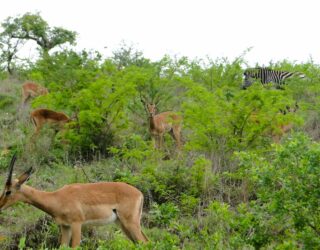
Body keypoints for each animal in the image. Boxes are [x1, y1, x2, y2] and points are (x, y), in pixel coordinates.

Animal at [0, 155, 148, 247]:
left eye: (8, 191)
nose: (0, 205)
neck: (57, 198)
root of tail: (139, 193)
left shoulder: (77, 224)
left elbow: (75, 246)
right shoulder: (65, 226)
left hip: (130, 223)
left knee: (145, 242)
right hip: (122, 224)